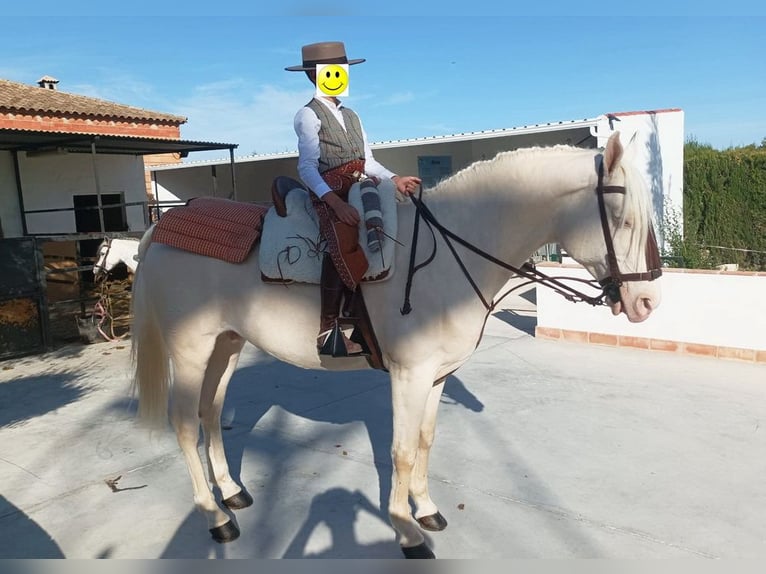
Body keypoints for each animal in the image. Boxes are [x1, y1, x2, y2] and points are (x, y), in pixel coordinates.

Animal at [129, 133, 664, 560]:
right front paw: (406, 532)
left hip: (227, 344)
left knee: (210, 414)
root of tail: (165, 224)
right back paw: (216, 517)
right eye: (623, 218)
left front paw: (425, 509)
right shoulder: (410, 374)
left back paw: (232, 492)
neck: (447, 254)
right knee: (184, 424)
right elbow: (402, 452)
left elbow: (425, 441)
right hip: (191, 350)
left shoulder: (436, 375)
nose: (648, 302)